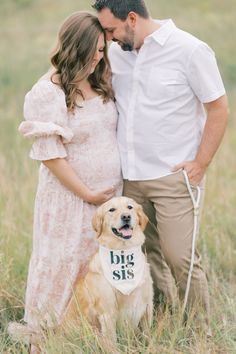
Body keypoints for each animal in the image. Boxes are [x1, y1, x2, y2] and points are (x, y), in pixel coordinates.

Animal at [63, 196, 154, 342]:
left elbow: (148, 336)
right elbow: (112, 342)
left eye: (130, 207)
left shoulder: (147, 305)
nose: (126, 216)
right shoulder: (107, 313)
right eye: (111, 209)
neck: (123, 252)